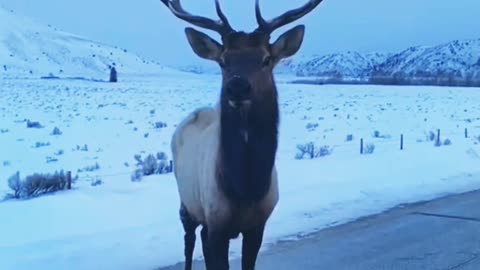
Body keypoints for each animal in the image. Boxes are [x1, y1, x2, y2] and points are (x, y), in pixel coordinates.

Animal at [163, 0, 324, 270]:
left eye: (266, 59)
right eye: (223, 61)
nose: (237, 86)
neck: (246, 188)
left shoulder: (257, 225)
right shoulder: (217, 220)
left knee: (201, 239)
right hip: (187, 202)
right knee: (189, 241)